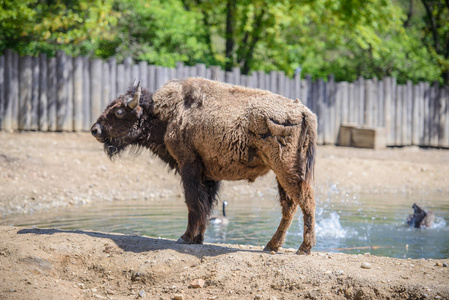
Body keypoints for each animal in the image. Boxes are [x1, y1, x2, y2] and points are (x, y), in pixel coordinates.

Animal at [89, 78, 316, 255]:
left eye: (119, 111)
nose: (95, 130)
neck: (166, 114)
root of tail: (303, 112)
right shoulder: (208, 175)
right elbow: (205, 204)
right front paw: (199, 237)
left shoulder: (188, 165)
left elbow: (193, 201)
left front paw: (186, 237)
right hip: (281, 175)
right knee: (289, 206)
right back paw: (271, 246)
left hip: (286, 170)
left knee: (306, 202)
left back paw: (303, 248)